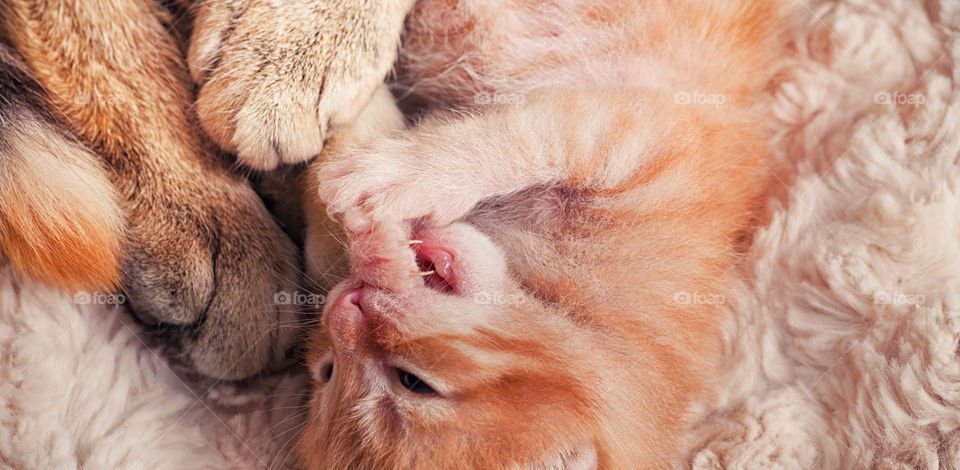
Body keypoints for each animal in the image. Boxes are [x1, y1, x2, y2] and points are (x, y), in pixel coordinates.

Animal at [300, 0, 788, 466]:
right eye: (326, 371)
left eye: (413, 382)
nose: (347, 303)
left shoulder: (643, 132)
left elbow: (524, 139)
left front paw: (393, 203)